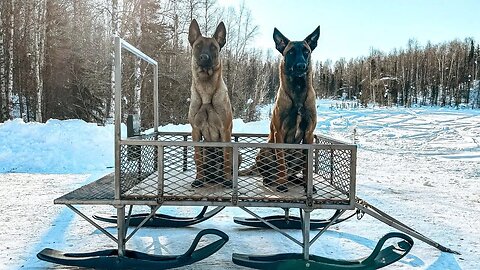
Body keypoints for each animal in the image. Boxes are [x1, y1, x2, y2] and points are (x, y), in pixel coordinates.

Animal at [187, 19, 233, 189]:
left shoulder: (225, 130)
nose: (204, 57)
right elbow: (197, 159)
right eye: (198, 45)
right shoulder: (195, 131)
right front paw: (199, 179)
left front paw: (227, 180)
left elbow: (226, 158)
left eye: (213, 47)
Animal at [256, 26, 320, 193]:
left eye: (306, 51)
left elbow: (307, 167)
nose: (301, 65)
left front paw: (308, 186)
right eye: (290, 52)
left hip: (297, 151)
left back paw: (296, 180)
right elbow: (282, 164)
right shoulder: (279, 133)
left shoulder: (309, 134)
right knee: (273, 172)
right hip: (265, 150)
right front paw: (282, 185)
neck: (297, 92)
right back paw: (273, 180)